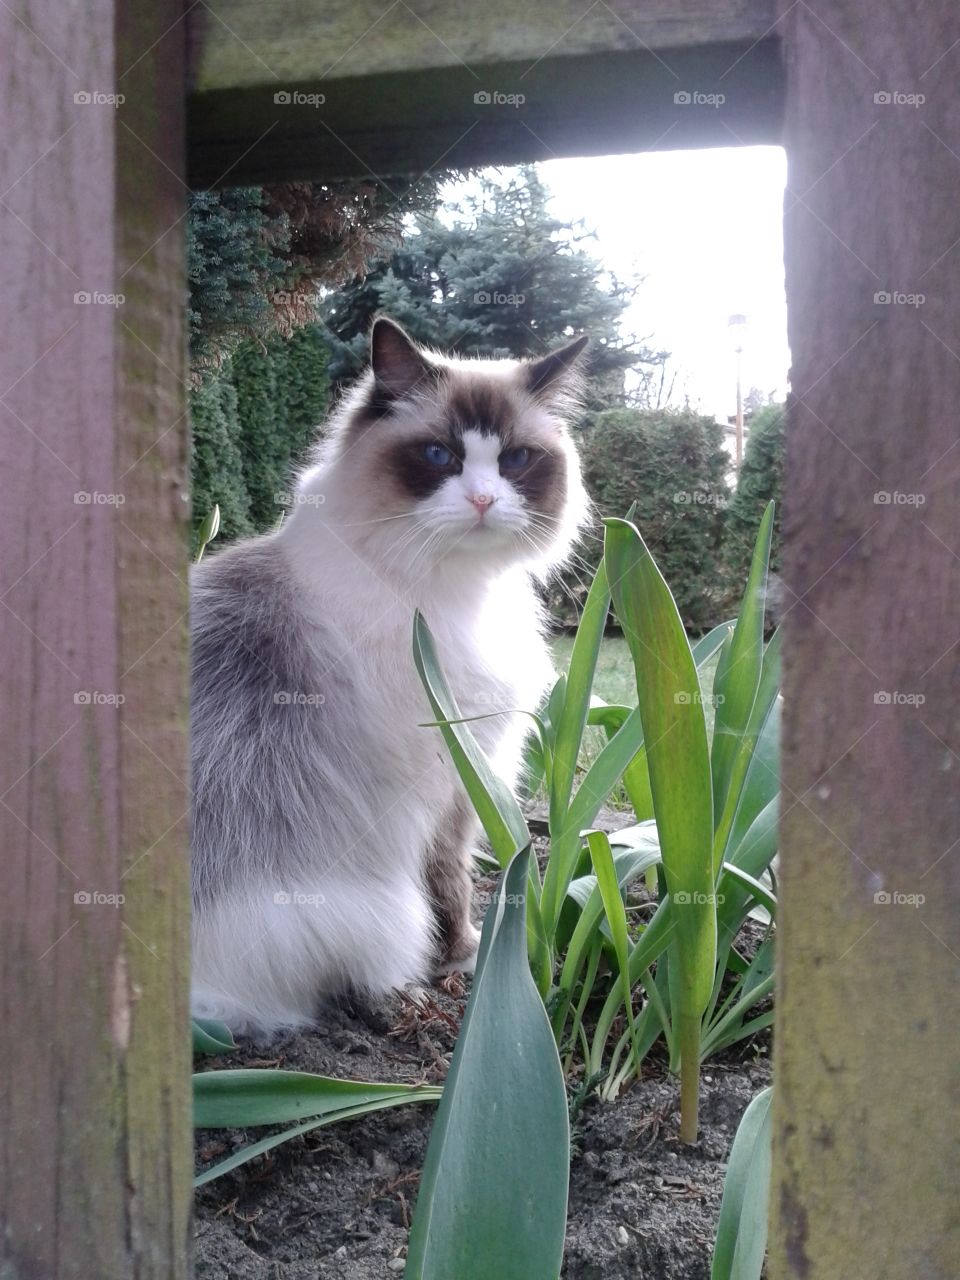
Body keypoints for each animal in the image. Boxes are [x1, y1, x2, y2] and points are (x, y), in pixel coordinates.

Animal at [190, 314, 591, 1034]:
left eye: (515, 460)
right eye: (438, 456)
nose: (484, 499)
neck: (457, 591)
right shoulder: (452, 778)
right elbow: (450, 880)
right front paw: (464, 955)